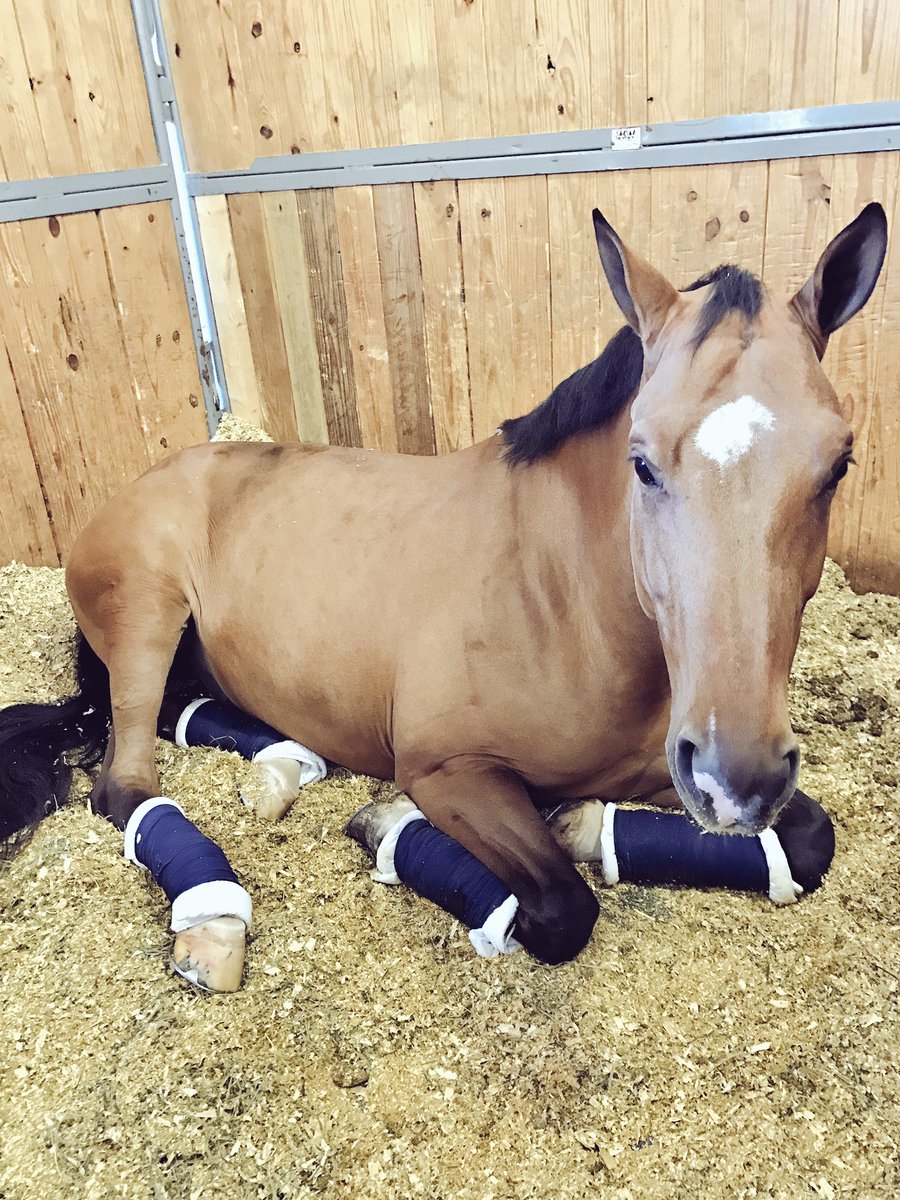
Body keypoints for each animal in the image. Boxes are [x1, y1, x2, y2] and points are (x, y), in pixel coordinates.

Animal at [0, 202, 886, 990]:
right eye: (641, 461)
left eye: (839, 466)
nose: (738, 778)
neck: (561, 603)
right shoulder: (449, 768)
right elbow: (560, 907)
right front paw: (396, 826)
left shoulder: (665, 772)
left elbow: (810, 838)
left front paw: (588, 825)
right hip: (148, 617)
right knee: (126, 784)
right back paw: (210, 922)